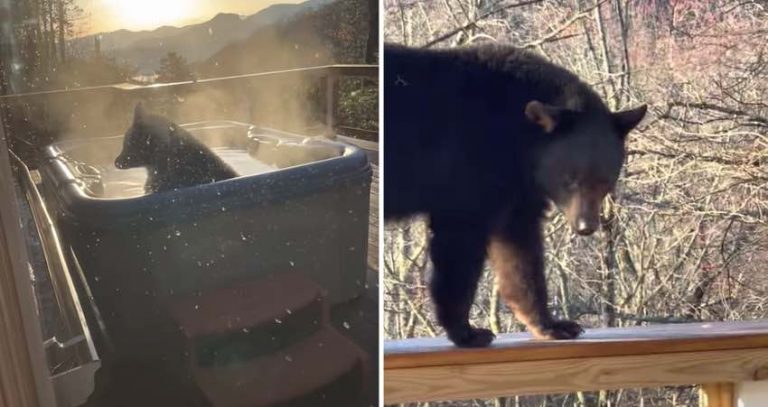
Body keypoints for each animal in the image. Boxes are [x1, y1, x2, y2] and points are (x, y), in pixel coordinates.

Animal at [384, 43, 647, 347]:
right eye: (570, 179)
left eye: (604, 180)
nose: (586, 226)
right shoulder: (471, 167)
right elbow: (459, 244)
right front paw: (468, 331)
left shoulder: (516, 188)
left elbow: (519, 252)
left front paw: (553, 325)